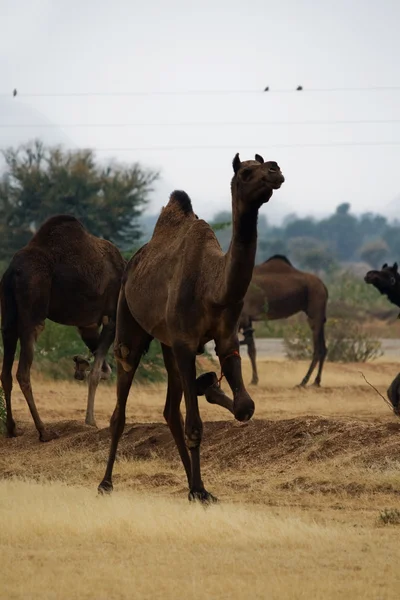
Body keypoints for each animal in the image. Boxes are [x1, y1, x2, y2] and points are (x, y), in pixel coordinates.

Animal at [0, 216, 125, 440]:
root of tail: (12, 272)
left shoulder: (87, 323)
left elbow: (101, 366)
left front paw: (81, 364)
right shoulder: (111, 317)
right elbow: (97, 371)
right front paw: (90, 421)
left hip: (8, 316)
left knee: (5, 372)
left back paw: (12, 428)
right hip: (33, 311)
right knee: (23, 372)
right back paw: (44, 431)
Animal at [97, 151, 284, 502]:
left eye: (265, 164)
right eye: (246, 172)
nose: (275, 170)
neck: (212, 287)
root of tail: (131, 263)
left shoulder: (225, 338)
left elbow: (244, 406)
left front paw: (209, 385)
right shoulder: (185, 342)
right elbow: (196, 425)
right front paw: (198, 491)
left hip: (166, 342)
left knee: (171, 411)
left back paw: (193, 482)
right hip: (128, 320)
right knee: (121, 400)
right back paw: (105, 484)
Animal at [238, 255, 328, 386]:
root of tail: (323, 286)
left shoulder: (243, 315)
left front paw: (253, 380)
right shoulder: (247, 319)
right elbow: (251, 350)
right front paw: (254, 380)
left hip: (315, 310)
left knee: (317, 349)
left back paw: (303, 382)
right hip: (319, 316)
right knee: (324, 348)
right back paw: (316, 381)